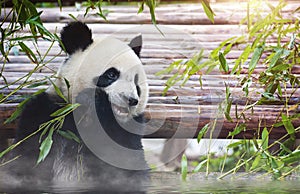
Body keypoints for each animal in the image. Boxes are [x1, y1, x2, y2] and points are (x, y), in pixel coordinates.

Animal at [0, 22, 149, 192]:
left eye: (136, 83)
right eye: (112, 75)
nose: (131, 100)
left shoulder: (128, 134)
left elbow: (130, 167)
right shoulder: (46, 115)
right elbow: (26, 158)